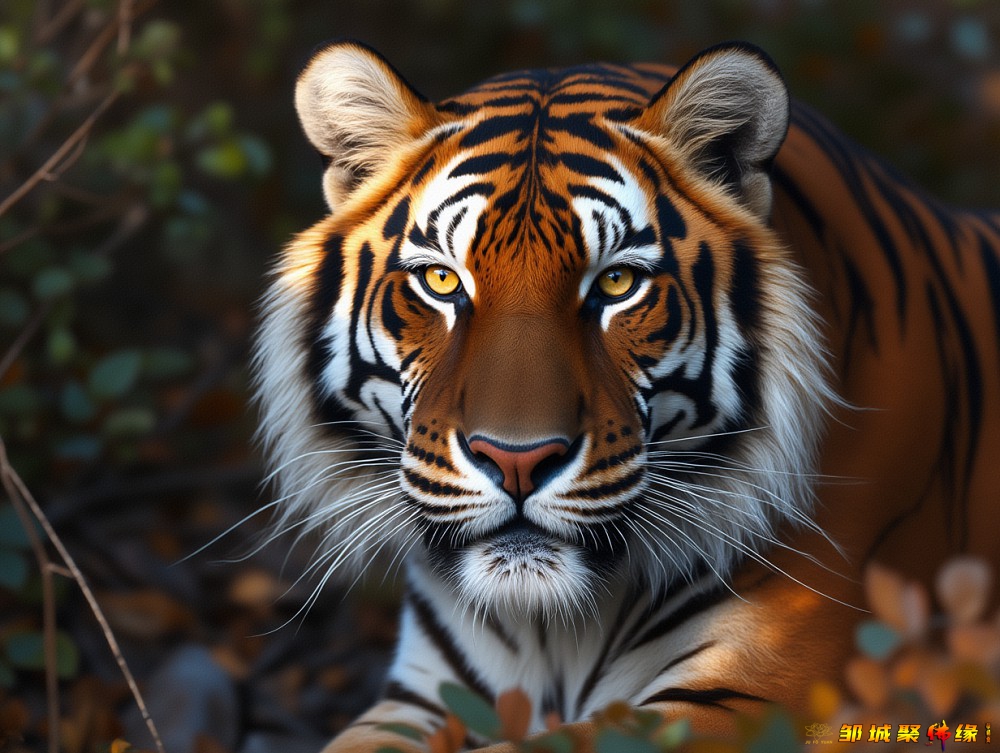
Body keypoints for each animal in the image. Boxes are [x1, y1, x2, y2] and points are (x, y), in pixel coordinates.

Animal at [253, 40, 1000, 752]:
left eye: (616, 284)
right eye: (441, 280)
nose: (516, 459)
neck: (553, 629)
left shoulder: (753, 699)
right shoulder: (420, 699)